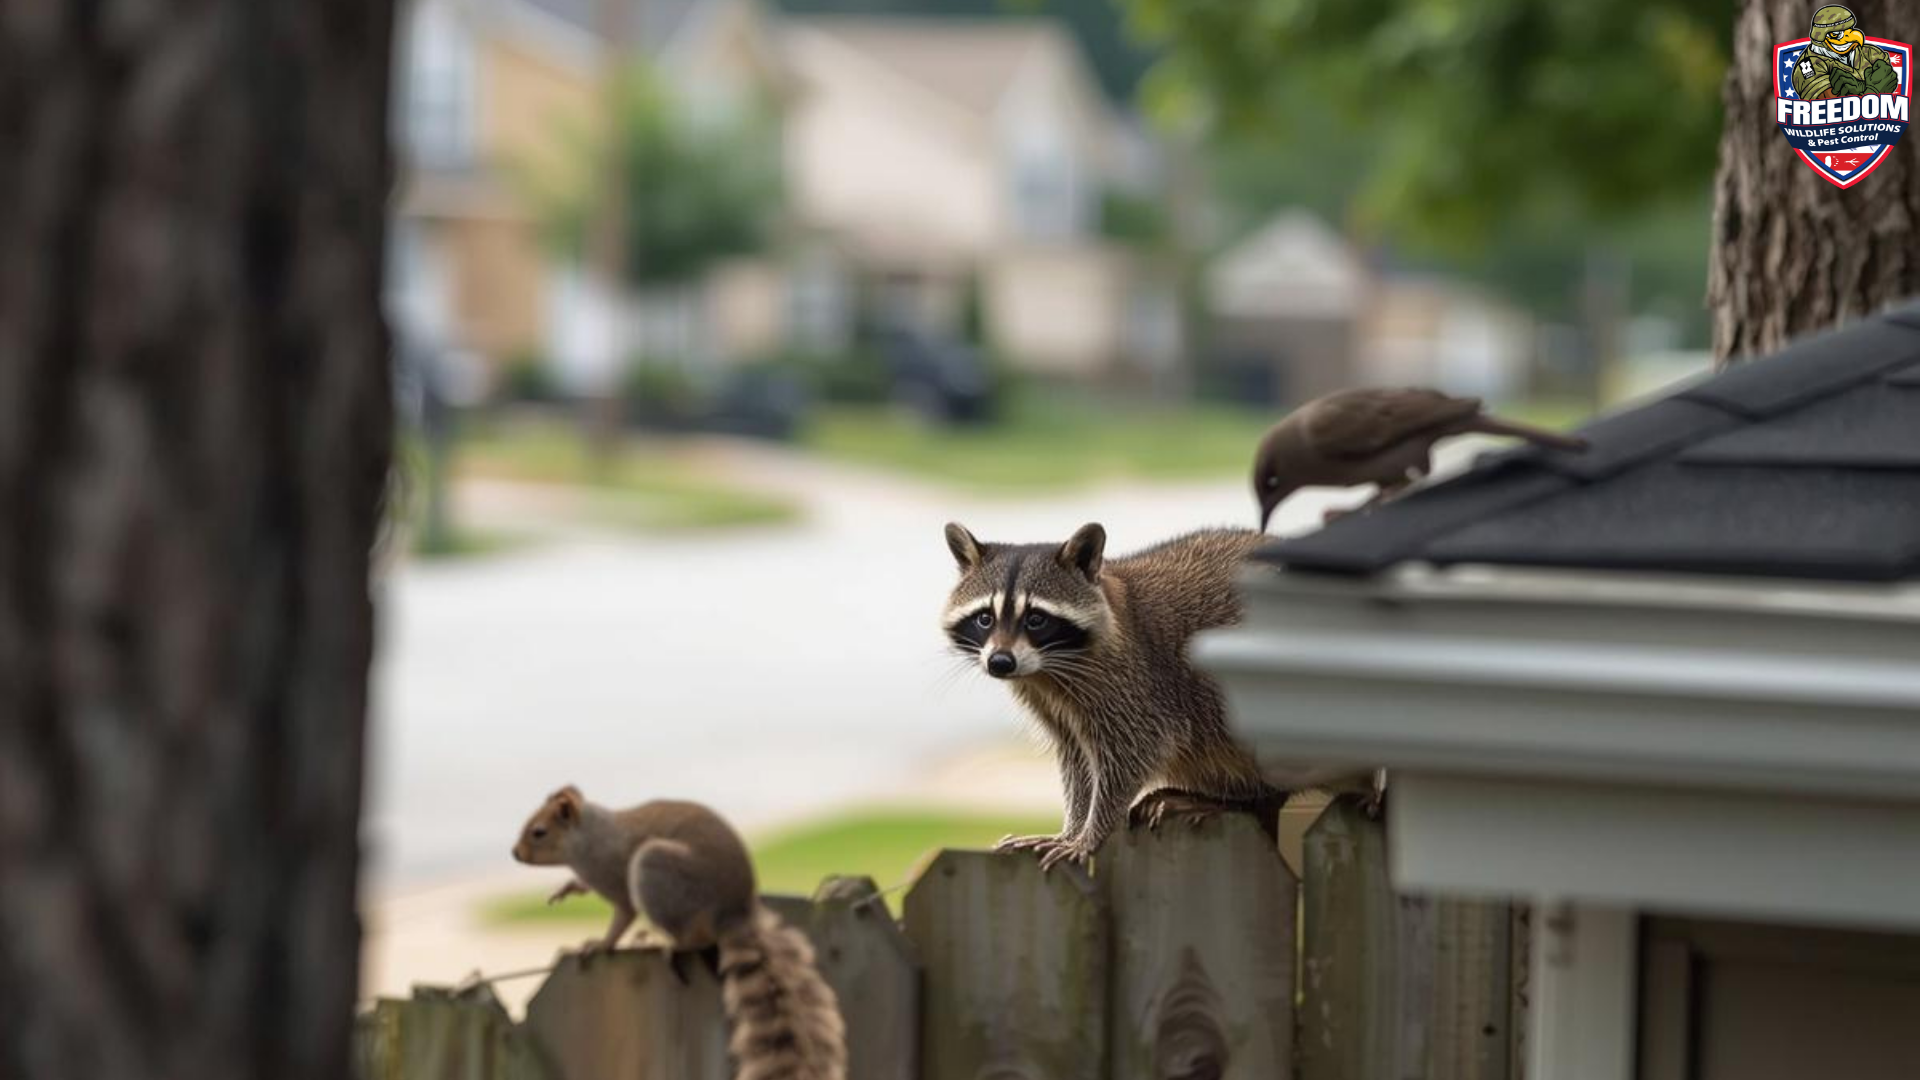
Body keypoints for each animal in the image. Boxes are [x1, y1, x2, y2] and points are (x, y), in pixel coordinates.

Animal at [513, 787, 847, 1080]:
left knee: (695, 937)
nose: (515, 853)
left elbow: (623, 915)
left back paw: (669, 944)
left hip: (659, 873)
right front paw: (569, 887)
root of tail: (734, 912)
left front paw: (600, 944)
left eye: (539, 832)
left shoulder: (612, 875)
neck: (588, 836)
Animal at [942, 522, 1291, 869]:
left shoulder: (1134, 685)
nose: (1000, 662)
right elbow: (1077, 761)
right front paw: (1072, 828)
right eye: (984, 618)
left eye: (1036, 619)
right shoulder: (1052, 704)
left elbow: (1137, 750)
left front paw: (1091, 833)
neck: (1046, 670)